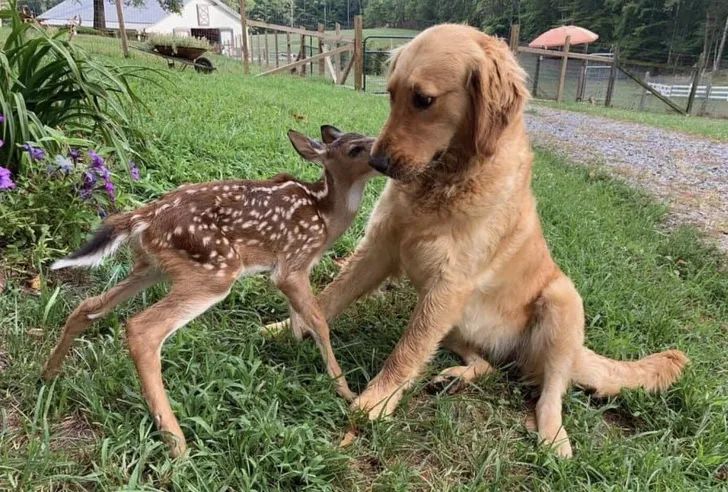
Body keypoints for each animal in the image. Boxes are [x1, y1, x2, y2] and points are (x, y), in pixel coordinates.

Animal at [274, 22, 688, 454]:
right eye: (390, 94)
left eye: (424, 100)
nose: (378, 163)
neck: (444, 181)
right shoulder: (380, 249)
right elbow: (328, 299)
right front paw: (284, 328)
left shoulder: (449, 284)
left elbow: (406, 350)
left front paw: (375, 401)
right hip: (456, 324)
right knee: (488, 364)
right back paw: (456, 377)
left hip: (561, 301)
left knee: (551, 391)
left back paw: (553, 438)